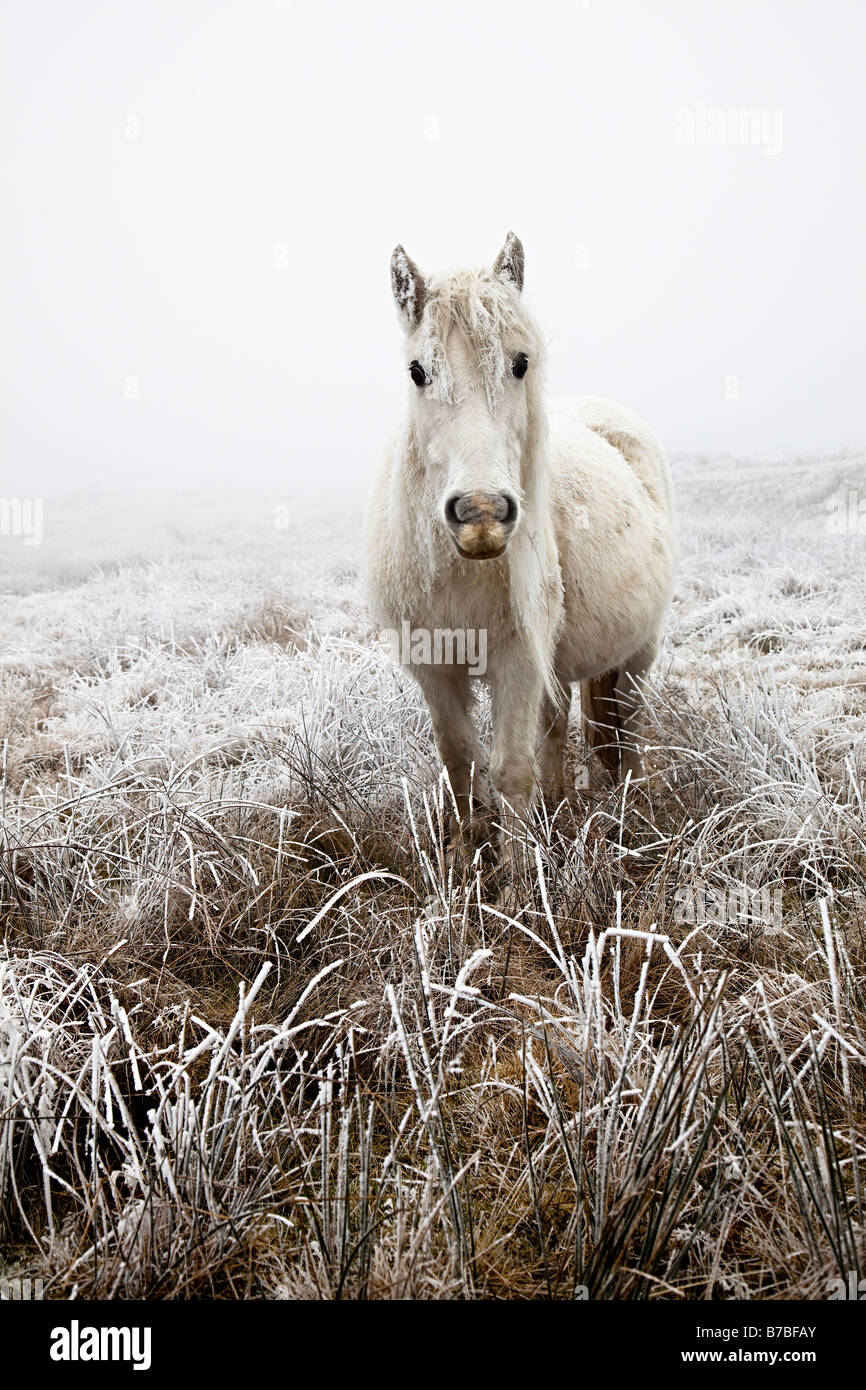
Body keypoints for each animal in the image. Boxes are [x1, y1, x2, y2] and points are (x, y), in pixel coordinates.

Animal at [366, 233, 678, 850]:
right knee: (558, 727)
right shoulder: (436, 670)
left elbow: (510, 769)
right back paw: (559, 801)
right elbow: (461, 764)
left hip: (638, 650)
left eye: (520, 363)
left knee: (628, 724)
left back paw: (634, 806)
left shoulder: (517, 660)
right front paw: (467, 856)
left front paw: (518, 871)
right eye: (417, 371)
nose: (481, 515)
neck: (460, 569)